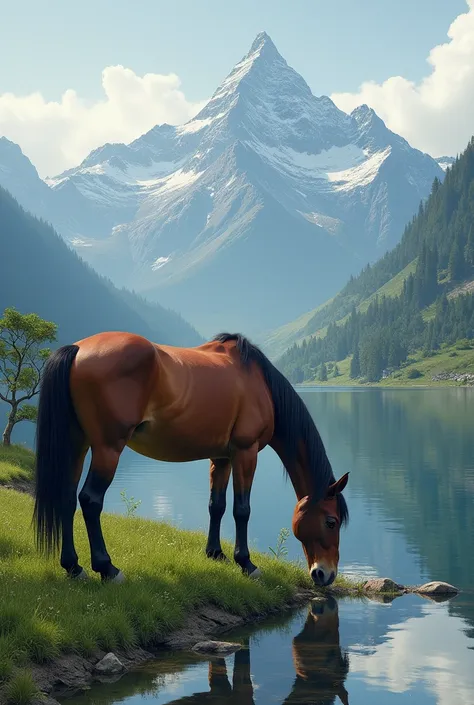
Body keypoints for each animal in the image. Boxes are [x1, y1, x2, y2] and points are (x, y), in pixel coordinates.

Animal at [31, 330, 346, 584]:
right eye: (331, 521)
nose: (325, 574)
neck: (260, 383)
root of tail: (78, 349)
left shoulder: (222, 458)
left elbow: (216, 505)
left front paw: (215, 553)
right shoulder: (245, 453)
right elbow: (241, 509)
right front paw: (246, 563)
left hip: (78, 443)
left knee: (67, 498)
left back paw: (73, 567)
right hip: (108, 448)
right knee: (90, 500)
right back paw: (107, 568)